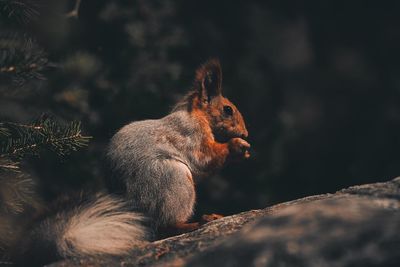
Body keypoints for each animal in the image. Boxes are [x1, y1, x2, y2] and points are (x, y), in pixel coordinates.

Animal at [1, 59, 248, 267]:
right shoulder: (191, 136)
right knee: (165, 227)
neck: (195, 115)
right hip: (174, 179)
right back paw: (199, 221)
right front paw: (236, 146)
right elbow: (205, 159)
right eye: (228, 110)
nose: (246, 133)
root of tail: (137, 209)